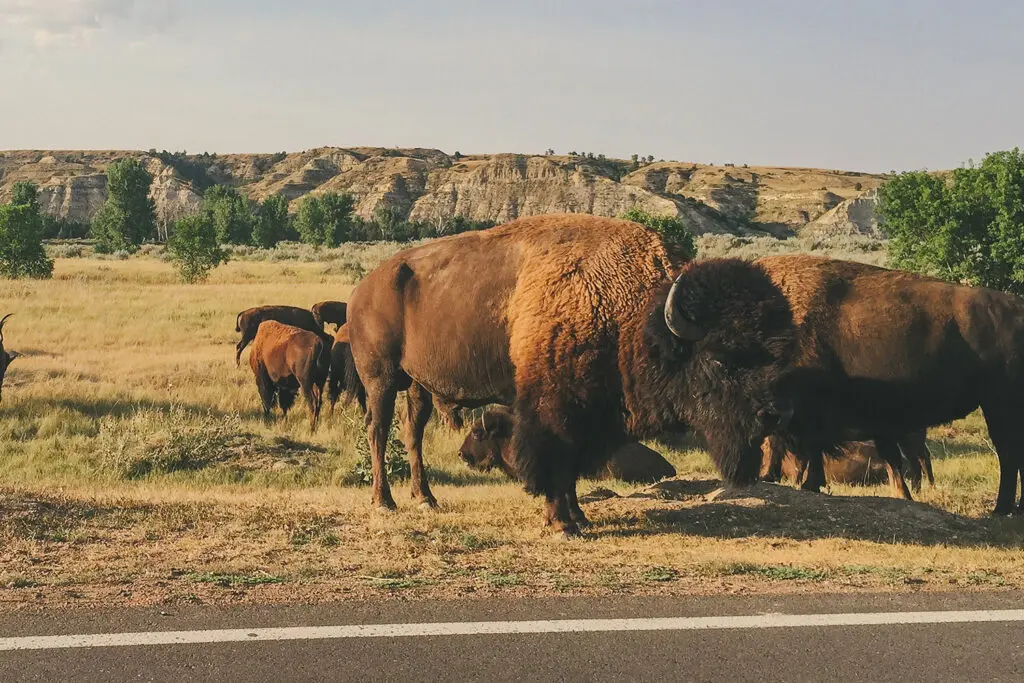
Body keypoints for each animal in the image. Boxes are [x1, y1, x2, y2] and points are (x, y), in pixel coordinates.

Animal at [761, 254, 1024, 511]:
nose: (764, 477)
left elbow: (802, 447)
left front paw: (804, 483)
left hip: (998, 405)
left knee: (1008, 453)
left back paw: (1001, 509)